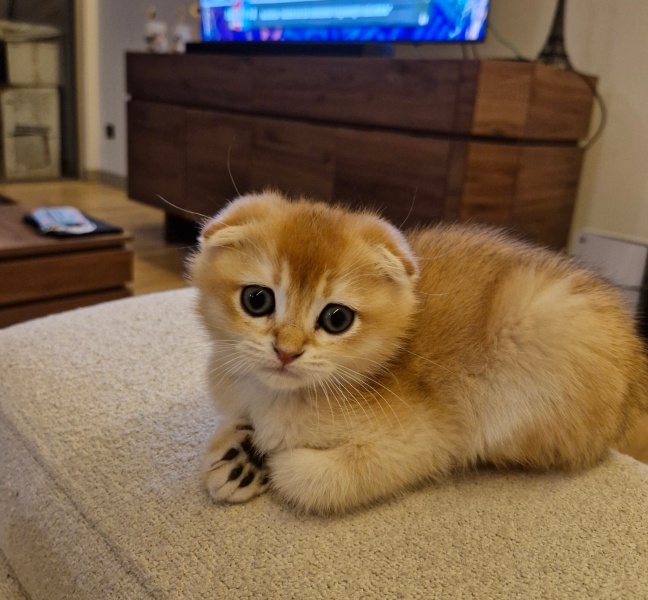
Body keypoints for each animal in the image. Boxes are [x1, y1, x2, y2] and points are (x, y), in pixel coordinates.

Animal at [192, 192, 648, 516]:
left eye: (337, 318)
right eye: (257, 300)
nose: (286, 351)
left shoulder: (424, 443)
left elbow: (311, 479)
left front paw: (267, 460)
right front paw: (242, 452)